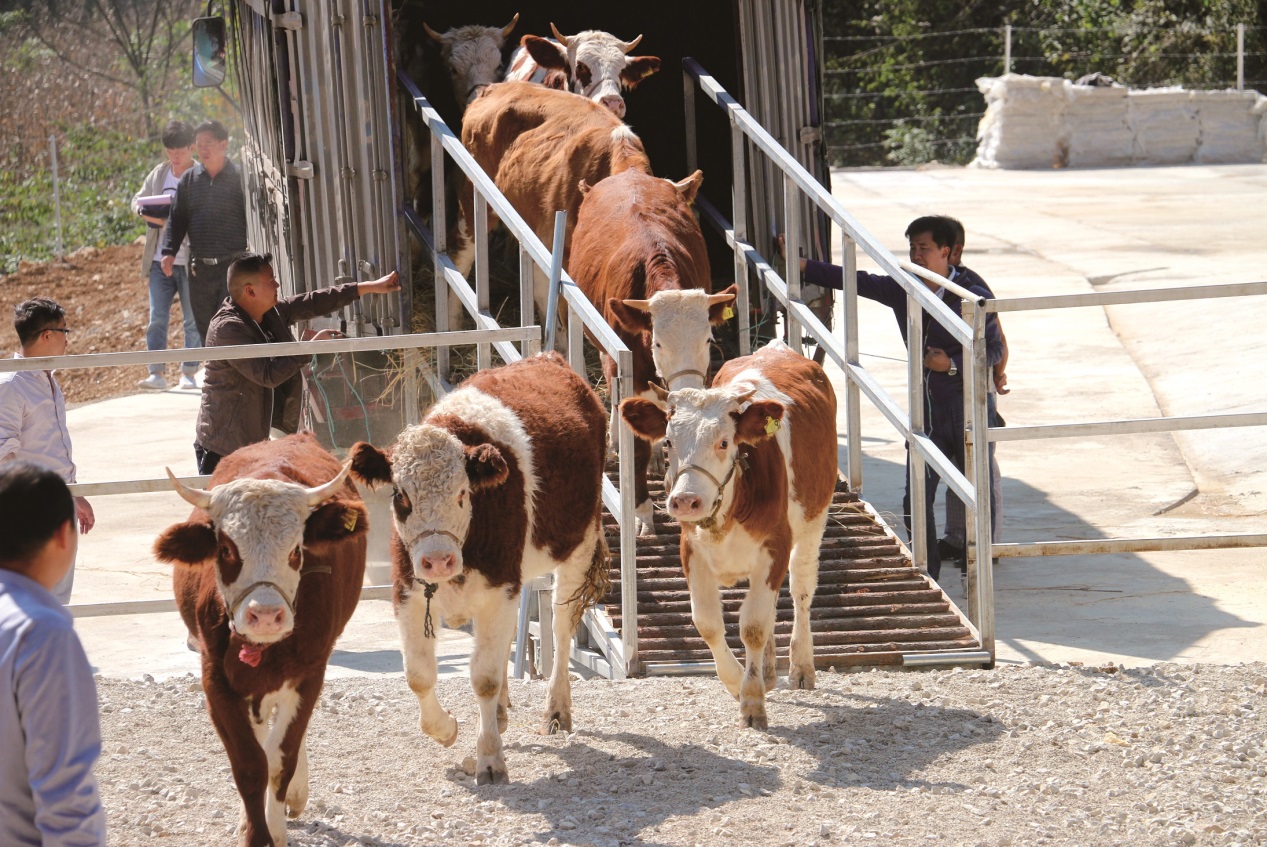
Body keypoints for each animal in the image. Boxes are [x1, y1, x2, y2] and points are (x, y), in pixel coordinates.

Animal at [153, 435, 369, 845]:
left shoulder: (309, 674)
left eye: (296, 550)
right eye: (226, 549)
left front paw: (277, 825)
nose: (266, 615)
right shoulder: (216, 682)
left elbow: (280, 761)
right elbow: (250, 765)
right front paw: (255, 832)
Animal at [344, 351, 605, 784]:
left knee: (560, 626)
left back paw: (555, 711)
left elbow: (484, 678)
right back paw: (499, 713)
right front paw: (446, 728)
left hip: (579, 545)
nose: (437, 560)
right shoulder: (408, 592)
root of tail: (548, 357)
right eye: (400, 495)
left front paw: (490, 760)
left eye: (463, 493)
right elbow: (419, 675)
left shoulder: (500, 587)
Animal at [618, 339, 836, 729]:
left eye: (723, 442)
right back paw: (768, 671)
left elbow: (753, 626)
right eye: (668, 442)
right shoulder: (692, 551)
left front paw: (752, 702)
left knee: (801, 591)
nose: (685, 501)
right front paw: (737, 682)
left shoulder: (775, 547)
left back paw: (801, 665)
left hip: (814, 521)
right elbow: (708, 623)